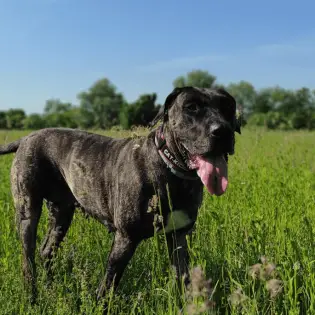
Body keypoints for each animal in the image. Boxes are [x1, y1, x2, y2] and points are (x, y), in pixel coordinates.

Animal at [0, 85, 242, 308]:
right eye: (191, 107)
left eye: (228, 108)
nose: (223, 131)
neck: (168, 165)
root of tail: (26, 138)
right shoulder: (125, 238)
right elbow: (108, 284)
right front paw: (99, 307)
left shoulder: (178, 236)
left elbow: (183, 278)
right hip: (28, 211)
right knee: (28, 259)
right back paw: (32, 297)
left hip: (61, 215)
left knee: (47, 251)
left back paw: (50, 288)